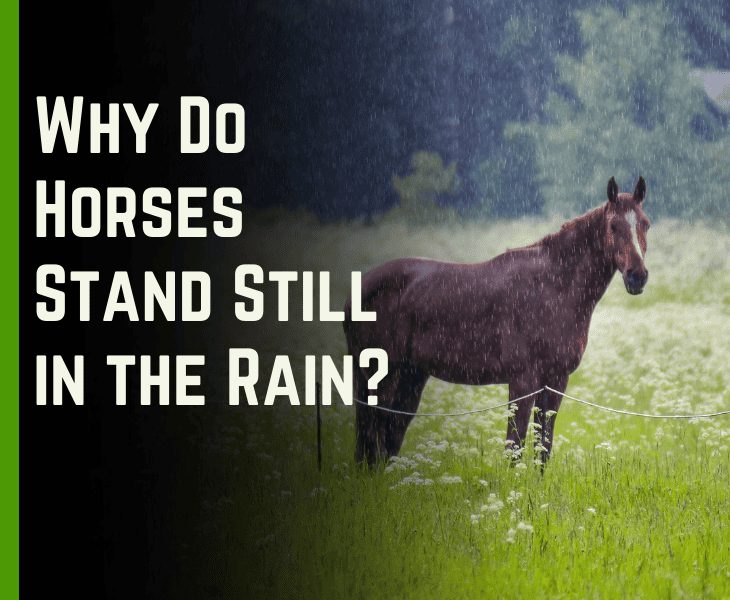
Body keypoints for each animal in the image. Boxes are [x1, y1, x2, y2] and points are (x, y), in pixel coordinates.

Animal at [343, 176, 649, 466]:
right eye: (613, 225)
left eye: (644, 224)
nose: (637, 275)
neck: (552, 286)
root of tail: (360, 286)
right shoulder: (523, 380)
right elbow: (514, 447)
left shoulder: (555, 382)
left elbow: (543, 448)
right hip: (380, 376)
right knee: (372, 439)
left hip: (411, 376)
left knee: (388, 438)